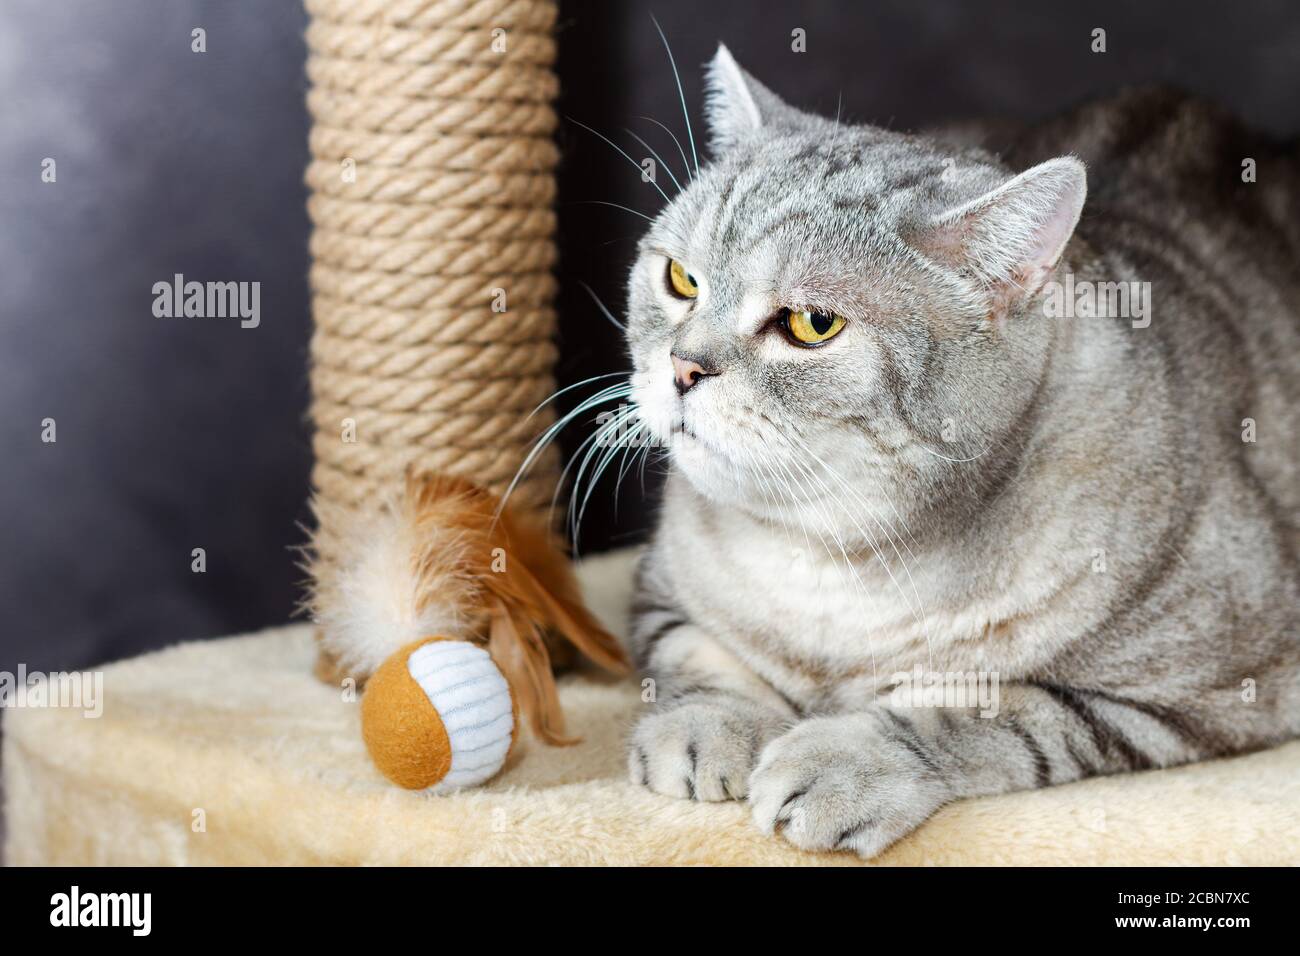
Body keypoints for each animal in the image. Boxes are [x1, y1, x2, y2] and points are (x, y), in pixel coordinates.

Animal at [621, 44, 1300, 858]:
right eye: (680, 279)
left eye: (812, 324)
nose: (682, 367)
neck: (831, 565)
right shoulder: (656, 589)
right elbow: (697, 653)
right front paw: (707, 724)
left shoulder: (1221, 691)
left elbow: (988, 708)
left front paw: (845, 759)